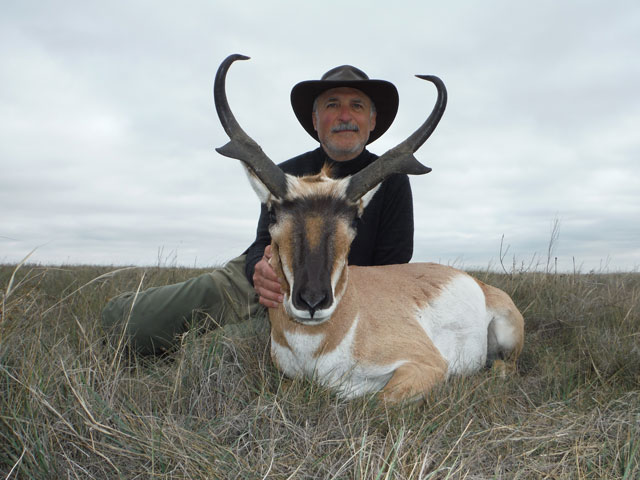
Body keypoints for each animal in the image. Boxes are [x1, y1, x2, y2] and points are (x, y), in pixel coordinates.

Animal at [215, 54, 524, 404]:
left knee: (504, 368)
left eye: (354, 218)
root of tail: (479, 283)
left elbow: (378, 402)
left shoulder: (425, 365)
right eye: (272, 213)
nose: (312, 301)